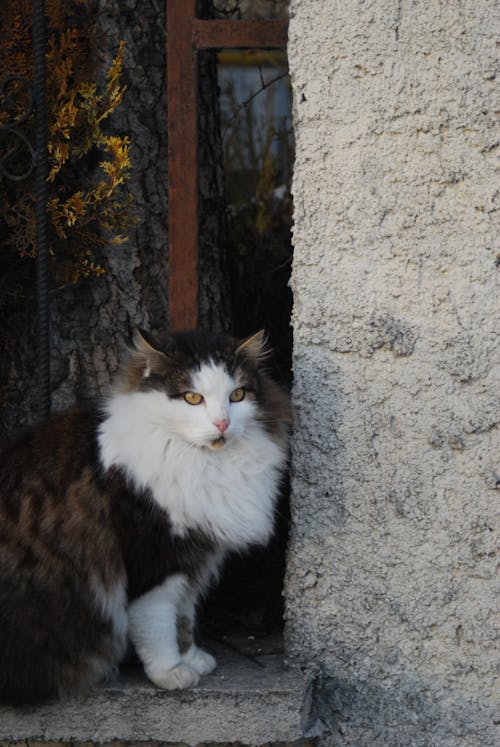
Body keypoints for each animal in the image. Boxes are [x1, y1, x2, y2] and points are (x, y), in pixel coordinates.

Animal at [0, 330, 290, 704]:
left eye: (237, 395)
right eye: (192, 398)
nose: (222, 423)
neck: (201, 463)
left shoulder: (193, 559)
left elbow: (185, 615)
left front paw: (192, 658)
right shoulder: (155, 560)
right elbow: (158, 625)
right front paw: (171, 672)